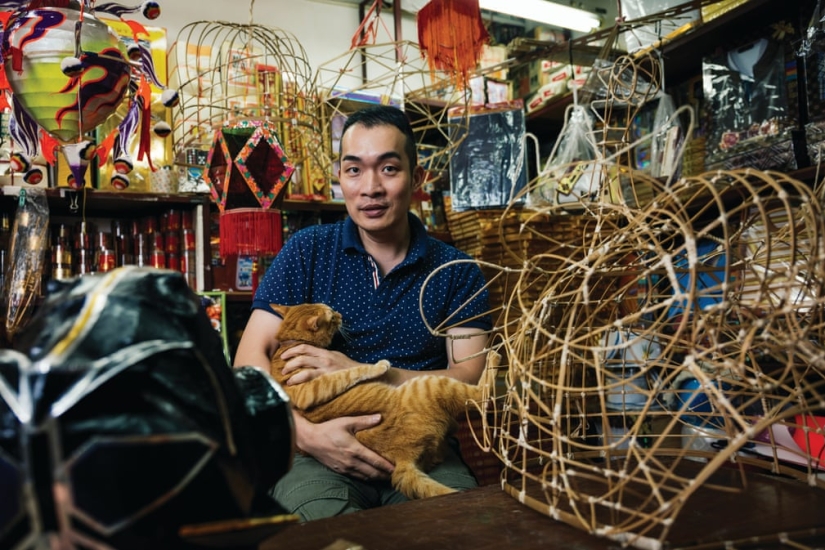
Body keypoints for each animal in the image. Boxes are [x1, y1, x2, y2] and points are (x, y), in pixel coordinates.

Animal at [268, 304, 482, 502]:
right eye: (332, 317)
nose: (340, 315)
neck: (290, 342)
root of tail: (403, 459)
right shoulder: (309, 390)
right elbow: (348, 372)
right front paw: (378, 366)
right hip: (431, 383)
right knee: (479, 394)